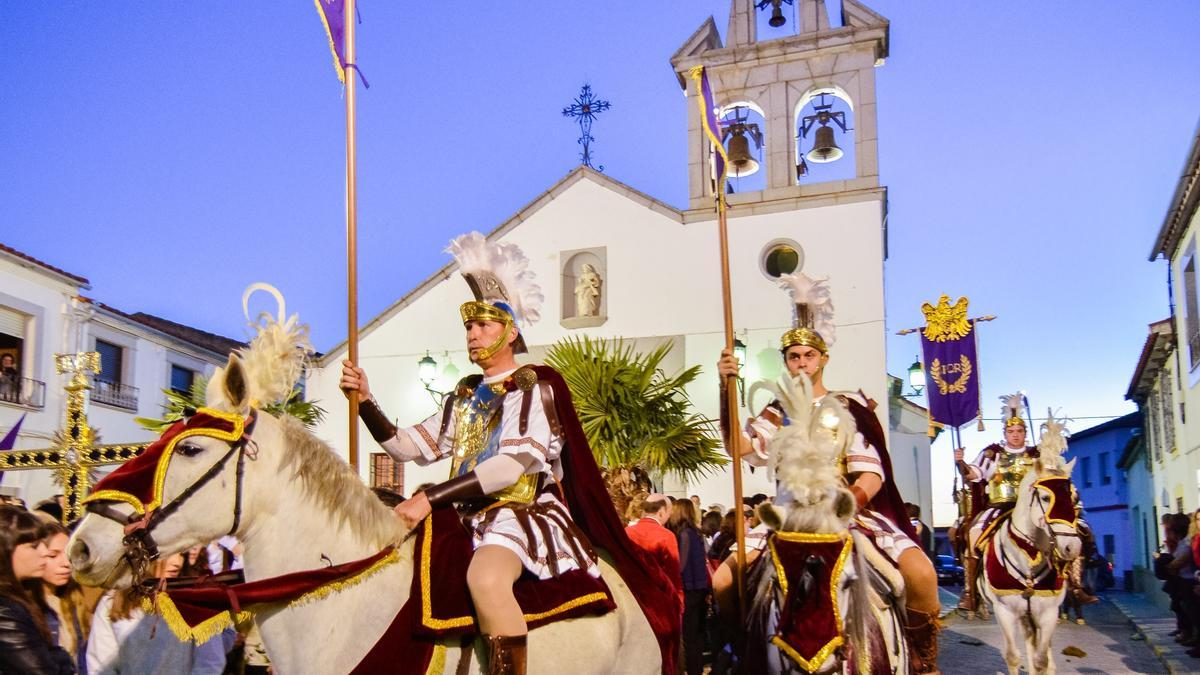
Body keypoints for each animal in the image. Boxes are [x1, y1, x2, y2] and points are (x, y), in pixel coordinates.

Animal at [979, 413, 1084, 672]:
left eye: (1073, 496)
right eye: (1046, 497)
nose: (1072, 548)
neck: (1028, 557)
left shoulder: (1048, 613)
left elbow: (1041, 660)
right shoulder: (1004, 612)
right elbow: (1013, 656)